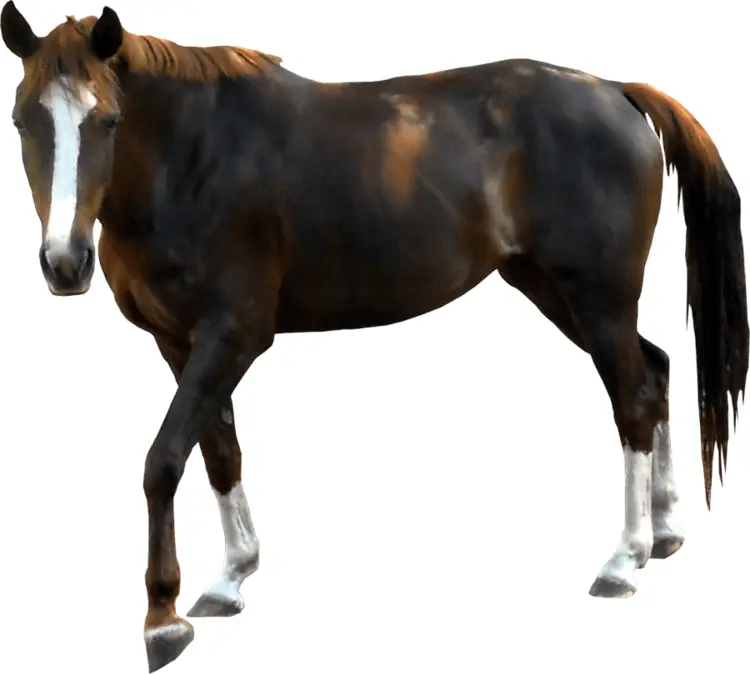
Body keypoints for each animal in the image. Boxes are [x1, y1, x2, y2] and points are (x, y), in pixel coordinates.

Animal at [1, 2, 747, 671]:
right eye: (21, 120)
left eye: (107, 119)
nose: (64, 264)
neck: (191, 160)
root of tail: (618, 91)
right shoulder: (178, 342)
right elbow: (218, 453)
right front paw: (231, 579)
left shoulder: (232, 335)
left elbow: (163, 461)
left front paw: (163, 621)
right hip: (551, 289)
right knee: (655, 372)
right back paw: (666, 533)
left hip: (597, 298)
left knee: (632, 402)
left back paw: (624, 560)